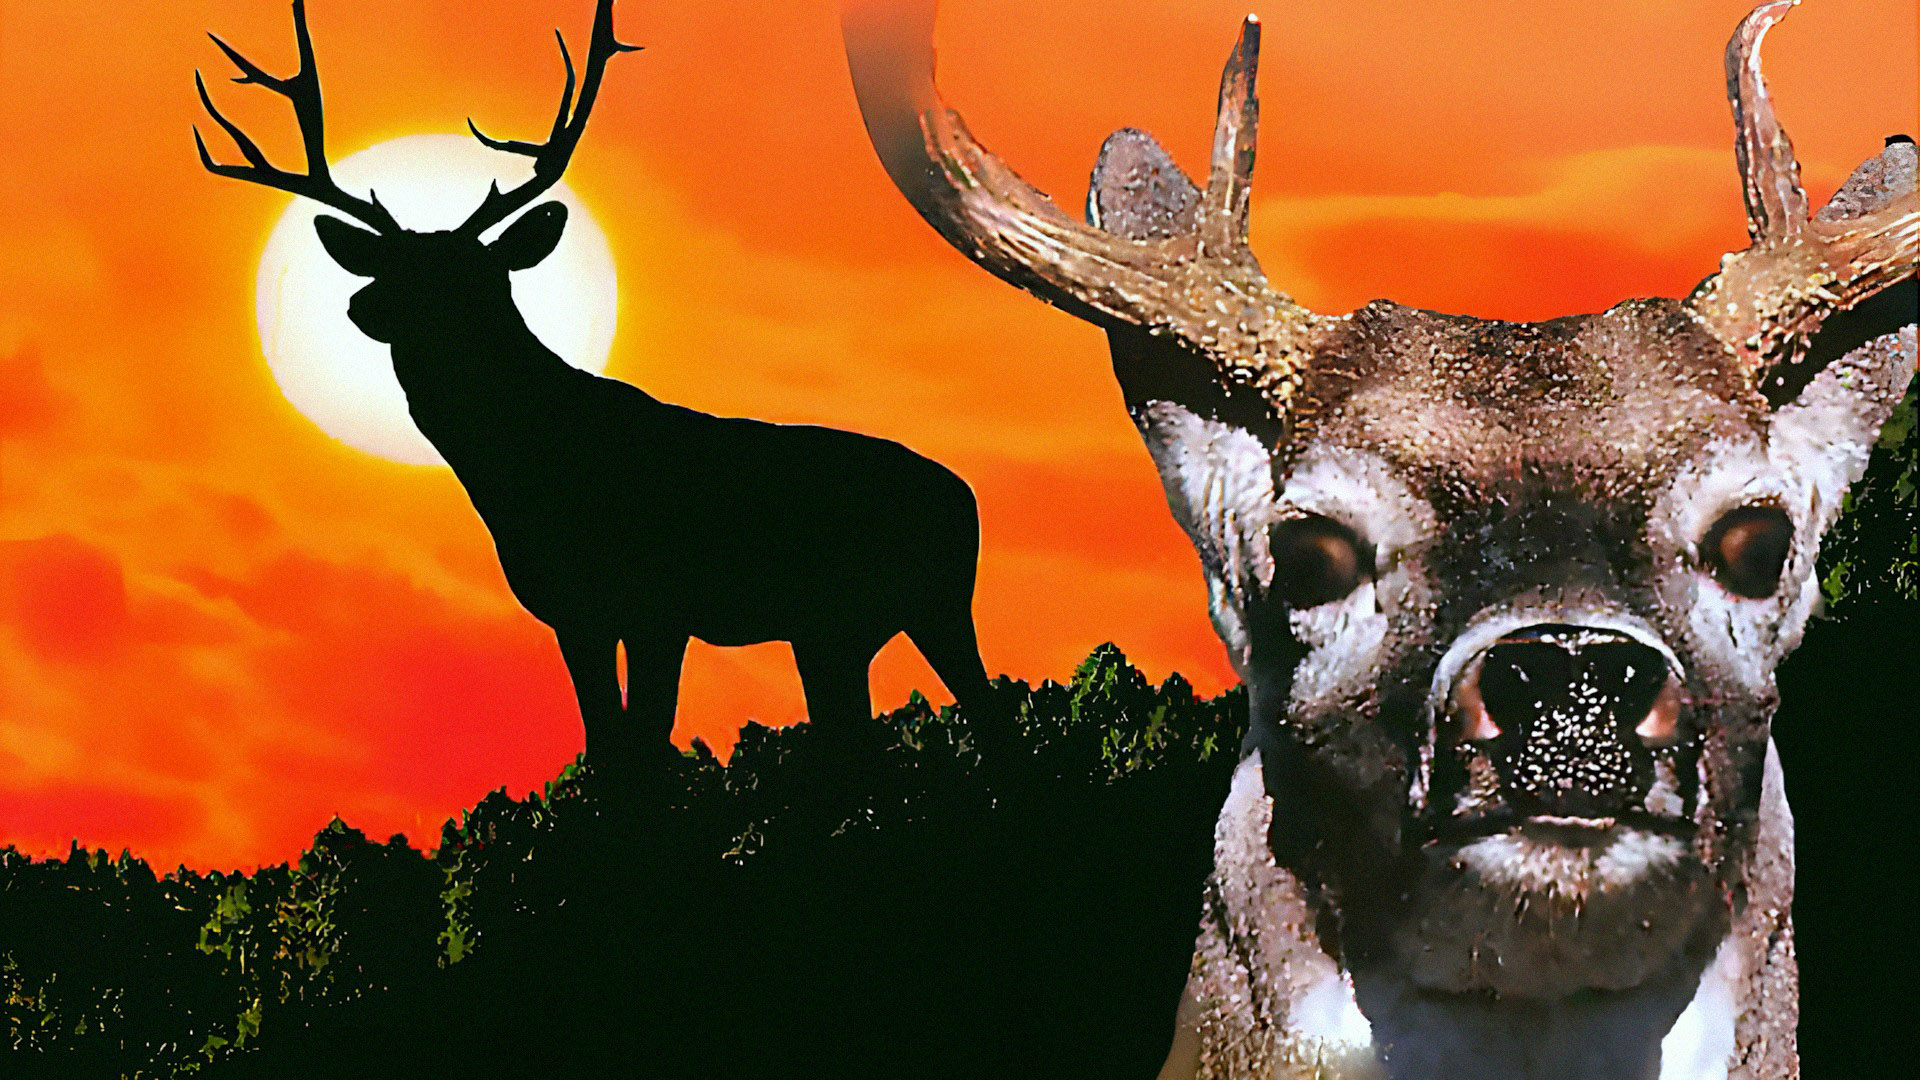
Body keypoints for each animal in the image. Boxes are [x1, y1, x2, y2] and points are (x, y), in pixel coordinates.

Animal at [196, 0, 997, 771]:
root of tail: (965, 497)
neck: (529, 481)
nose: (364, 306)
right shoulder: (572, 613)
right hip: (834, 631)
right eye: (393, 267)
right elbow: (606, 751)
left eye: (472, 275)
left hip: (936, 605)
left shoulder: (658, 605)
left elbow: (644, 749)